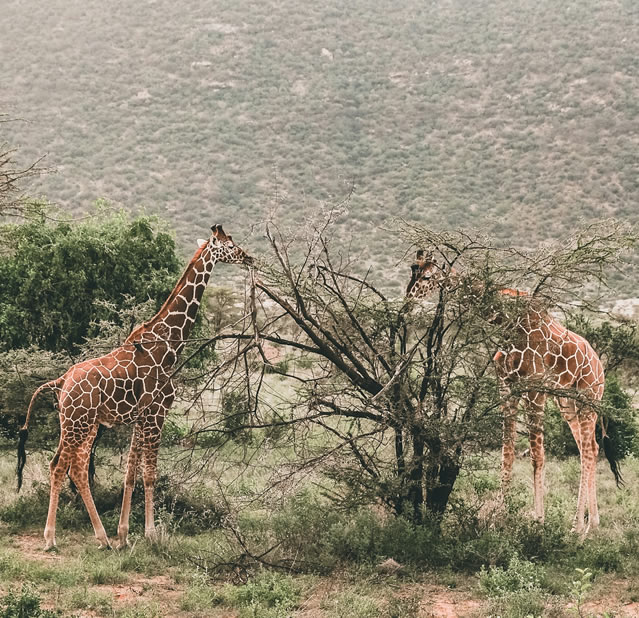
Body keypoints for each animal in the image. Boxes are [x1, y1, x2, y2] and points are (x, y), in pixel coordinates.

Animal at [17, 223, 252, 548]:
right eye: (230, 245)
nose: (249, 258)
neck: (169, 345)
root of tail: (61, 382)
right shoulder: (156, 412)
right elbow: (149, 473)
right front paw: (151, 533)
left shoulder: (140, 417)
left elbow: (130, 473)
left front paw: (124, 534)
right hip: (79, 423)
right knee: (63, 467)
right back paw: (53, 538)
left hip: (79, 424)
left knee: (70, 467)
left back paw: (102, 537)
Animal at [404, 248, 620, 532]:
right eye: (412, 269)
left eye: (428, 275)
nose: (407, 300)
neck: (506, 323)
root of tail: (600, 366)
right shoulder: (506, 387)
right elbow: (507, 454)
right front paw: (499, 519)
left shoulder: (534, 389)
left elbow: (537, 456)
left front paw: (538, 522)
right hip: (568, 404)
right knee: (590, 449)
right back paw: (590, 526)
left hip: (588, 399)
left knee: (586, 451)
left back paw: (577, 528)